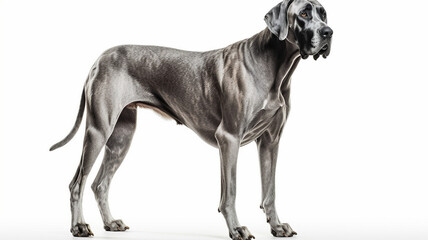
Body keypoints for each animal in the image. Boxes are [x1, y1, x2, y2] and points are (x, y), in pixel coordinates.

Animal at [49, 0, 332, 239]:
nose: (328, 33)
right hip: (98, 130)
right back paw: (78, 226)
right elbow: (230, 192)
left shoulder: (270, 141)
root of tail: (98, 60)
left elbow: (270, 190)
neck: (275, 67)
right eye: (304, 14)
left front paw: (277, 226)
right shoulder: (229, 138)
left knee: (100, 184)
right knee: (77, 183)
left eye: (323, 13)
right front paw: (237, 228)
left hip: (121, 136)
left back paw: (110, 223)